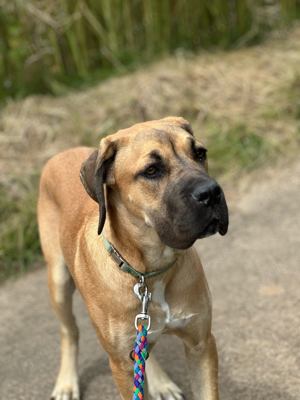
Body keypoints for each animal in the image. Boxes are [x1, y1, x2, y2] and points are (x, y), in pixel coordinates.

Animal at [38, 116, 229, 400]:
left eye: (200, 153)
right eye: (151, 170)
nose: (212, 193)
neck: (149, 271)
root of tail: (61, 153)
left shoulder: (201, 345)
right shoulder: (120, 367)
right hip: (59, 281)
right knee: (69, 331)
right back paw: (66, 383)